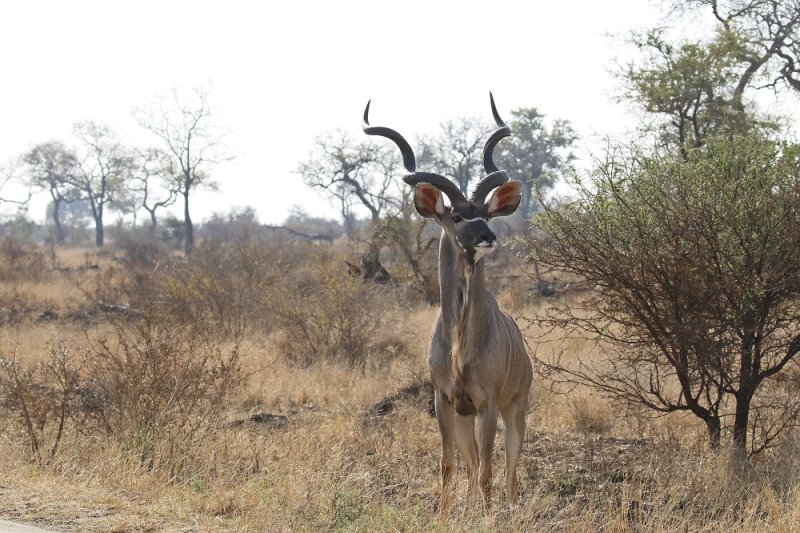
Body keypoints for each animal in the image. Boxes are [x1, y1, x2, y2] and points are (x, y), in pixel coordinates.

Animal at [366, 93, 536, 510]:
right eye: (457, 215)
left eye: (487, 212)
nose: (488, 236)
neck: (460, 345)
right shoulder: (445, 402)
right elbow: (449, 467)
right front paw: (444, 516)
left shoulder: (487, 404)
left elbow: (489, 472)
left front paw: (488, 517)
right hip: (465, 417)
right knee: (472, 465)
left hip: (515, 407)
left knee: (509, 470)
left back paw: (509, 510)